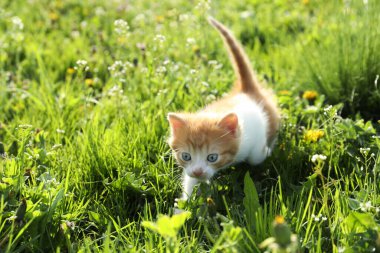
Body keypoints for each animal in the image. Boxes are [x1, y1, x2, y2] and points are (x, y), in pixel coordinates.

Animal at [167, 17, 280, 200]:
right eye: (186, 156)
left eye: (212, 157)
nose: (198, 172)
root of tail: (246, 90)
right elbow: (189, 181)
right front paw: (185, 204)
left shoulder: (255, 140)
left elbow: (257, 157)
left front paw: (268, 150)